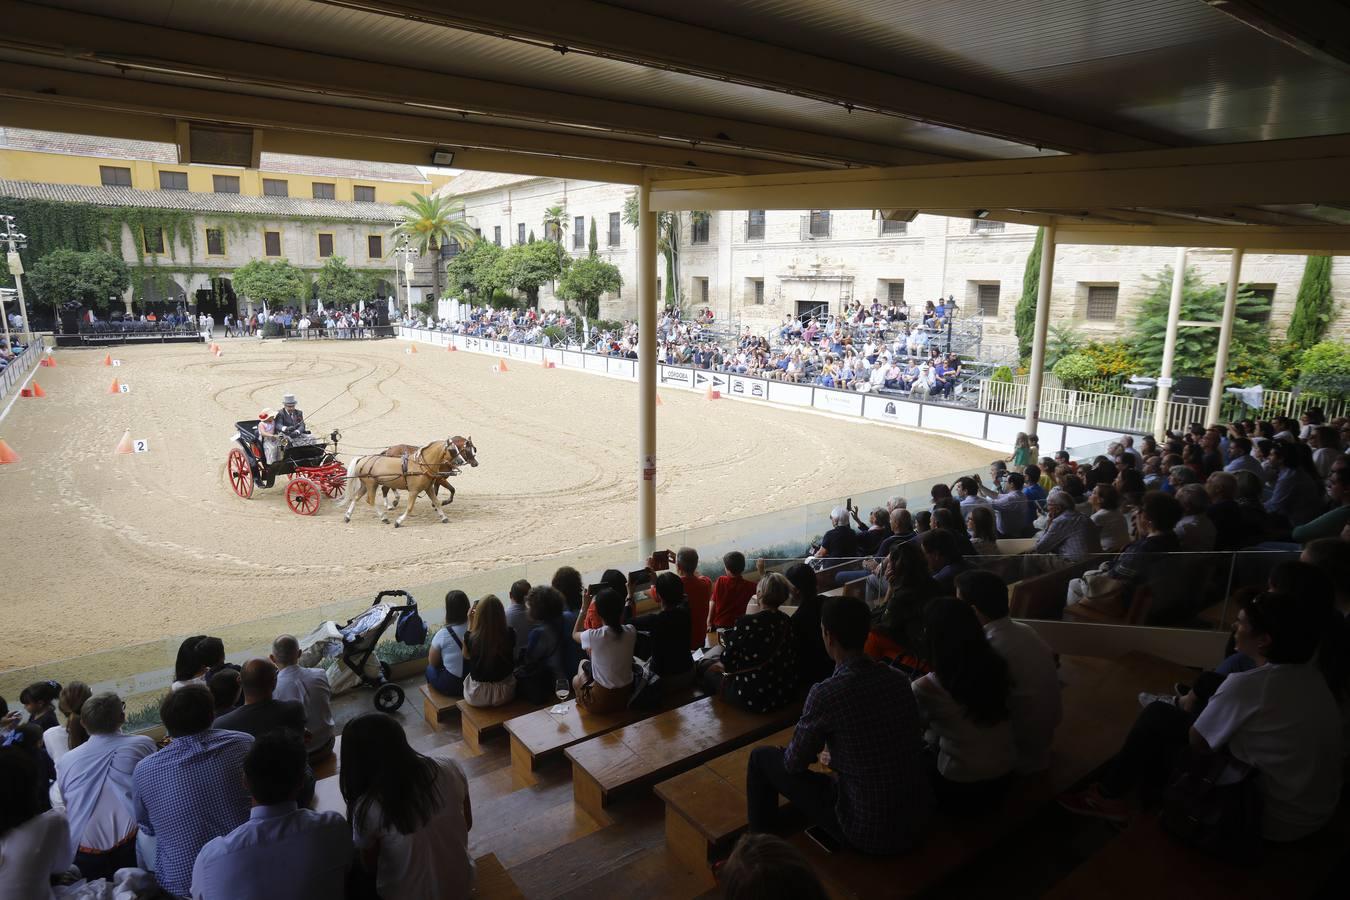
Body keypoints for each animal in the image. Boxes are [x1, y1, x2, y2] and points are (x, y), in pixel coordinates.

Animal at [342, 437, 475, 528]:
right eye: (453, 450)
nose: (461, 461)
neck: (421, 465)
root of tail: (362, 459)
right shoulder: (414, 491)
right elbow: (410, 507)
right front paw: (398, 521)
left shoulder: (428, 488)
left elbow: (437, 502)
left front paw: (444, 517)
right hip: (371, 484)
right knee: (370, 500)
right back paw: (384, 517)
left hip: (365, 485)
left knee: (357, 497)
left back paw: (348, 516)